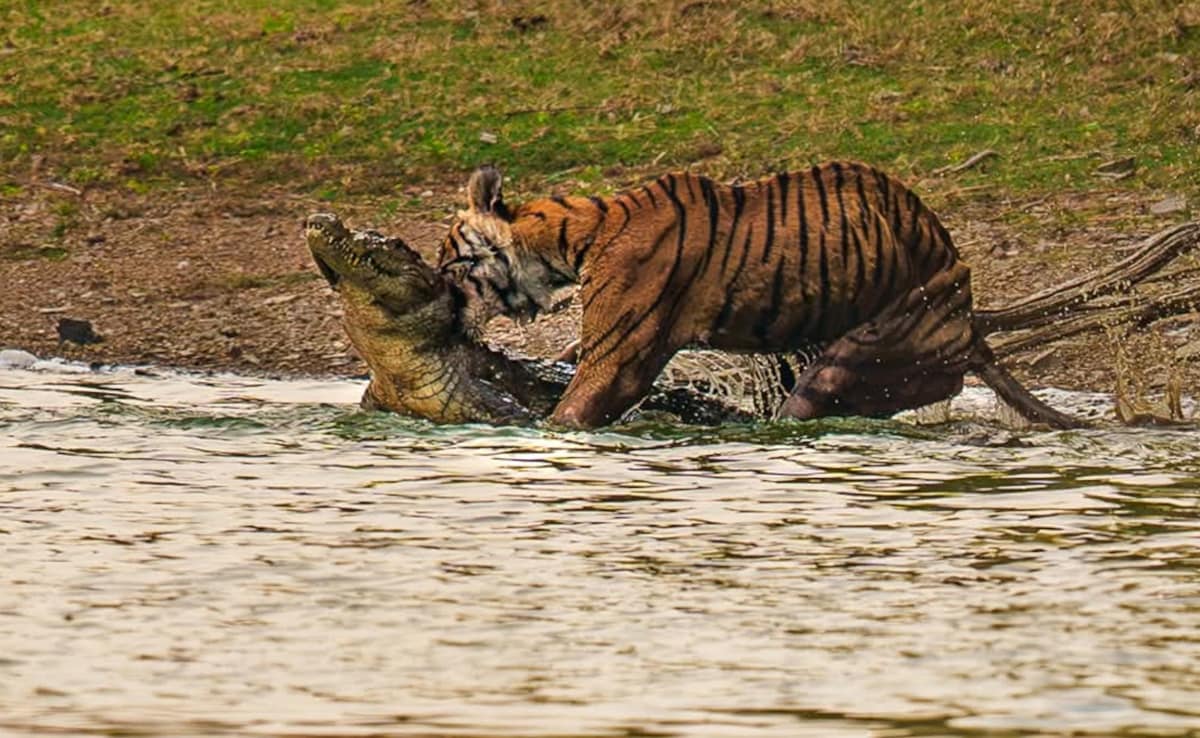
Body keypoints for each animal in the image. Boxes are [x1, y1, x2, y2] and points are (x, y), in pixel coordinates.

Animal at [437, 162, 1079, 430]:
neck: (576, 237)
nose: (441, 306)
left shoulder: (616, 357)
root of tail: (970, 324)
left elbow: (574, 405)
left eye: (451, 264)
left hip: (860, 358)